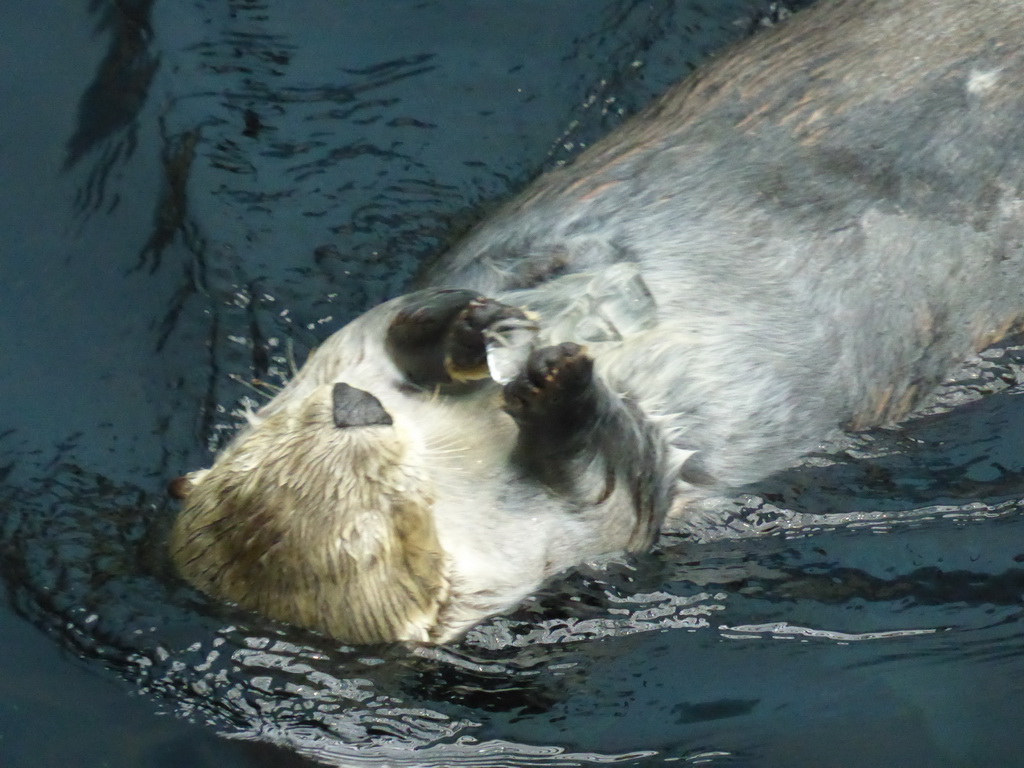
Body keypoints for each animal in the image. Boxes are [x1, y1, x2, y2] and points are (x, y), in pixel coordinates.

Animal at [167, 0, 1024, 647]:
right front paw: (557, 381)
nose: (356, 405)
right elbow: (623, 473)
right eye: (383, 507)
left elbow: (393, 319)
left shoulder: (350, 342)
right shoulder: (578, 530)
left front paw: (462, 324)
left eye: (305, 421)